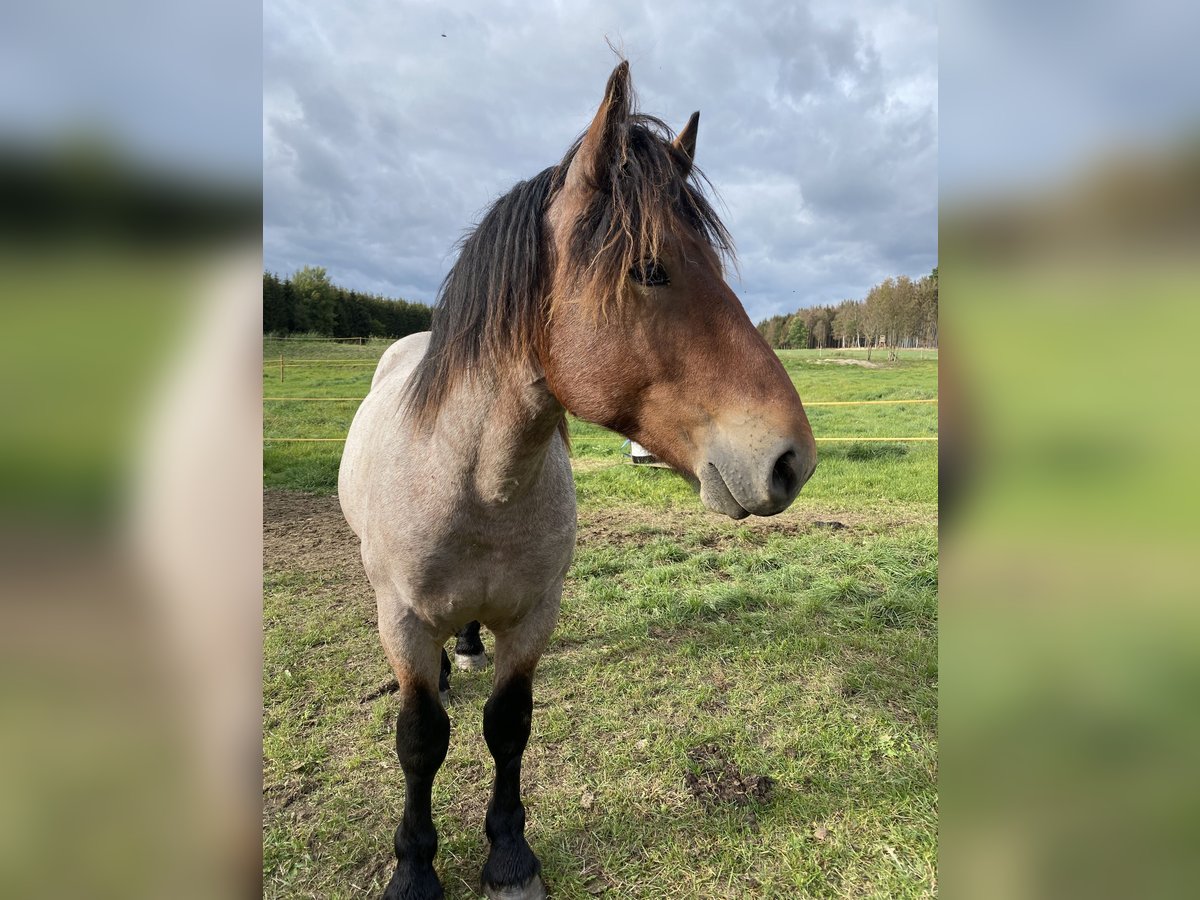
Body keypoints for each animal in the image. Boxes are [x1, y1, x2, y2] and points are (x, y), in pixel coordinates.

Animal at [343, 61, 820, 900]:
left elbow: (508, 727)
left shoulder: (534, 616)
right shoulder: (400, 622)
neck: (477, 485)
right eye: (649, 269)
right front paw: (415, 867)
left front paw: (508, 854)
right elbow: (420, 739)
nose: (791, 459)